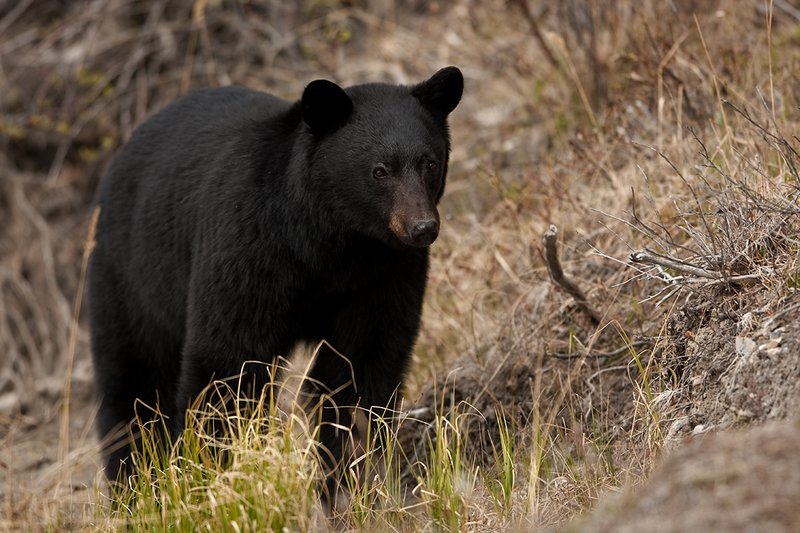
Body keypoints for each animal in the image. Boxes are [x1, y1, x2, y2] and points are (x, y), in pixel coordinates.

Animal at [88, 66, 463, 493]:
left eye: (430, 163)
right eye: (380, 170)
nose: (422, 228)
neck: (333, 243)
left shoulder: (382, 274)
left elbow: (360, 367)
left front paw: (350, 477)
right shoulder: (250, 249)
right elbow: (228, 362)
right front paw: (221, 474)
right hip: (131, 280)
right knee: (134, 388)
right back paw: (134, 486)